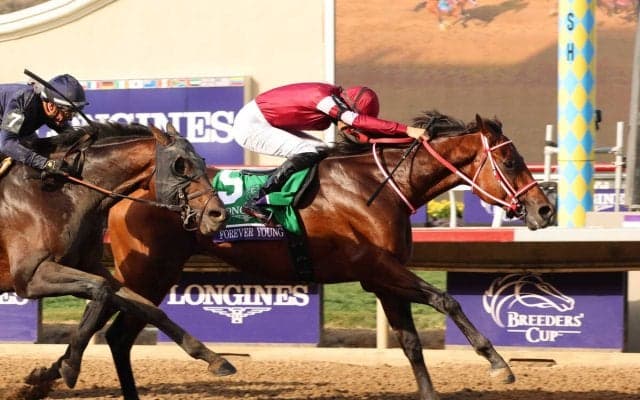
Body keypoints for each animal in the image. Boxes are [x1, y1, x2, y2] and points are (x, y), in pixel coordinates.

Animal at [0, 121, 235, 398]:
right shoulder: (30, 277)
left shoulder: (87, 266)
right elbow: (101, 290)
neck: (58, 193)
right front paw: (68, 366)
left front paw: (216, 359)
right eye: (180, 165)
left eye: (201, 161)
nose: (218, 215)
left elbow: (148, 308)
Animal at [39, 111, 554, 400]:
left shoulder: (383, 279)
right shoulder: (379, 268)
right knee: (112, 322)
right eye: (510, 161)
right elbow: (447, 300)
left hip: (155, 274)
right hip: (150, 270)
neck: (378, 186)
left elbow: (410, 343)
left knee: (118, 330)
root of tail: (128, 194)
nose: (545, 209)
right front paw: (499, 364)